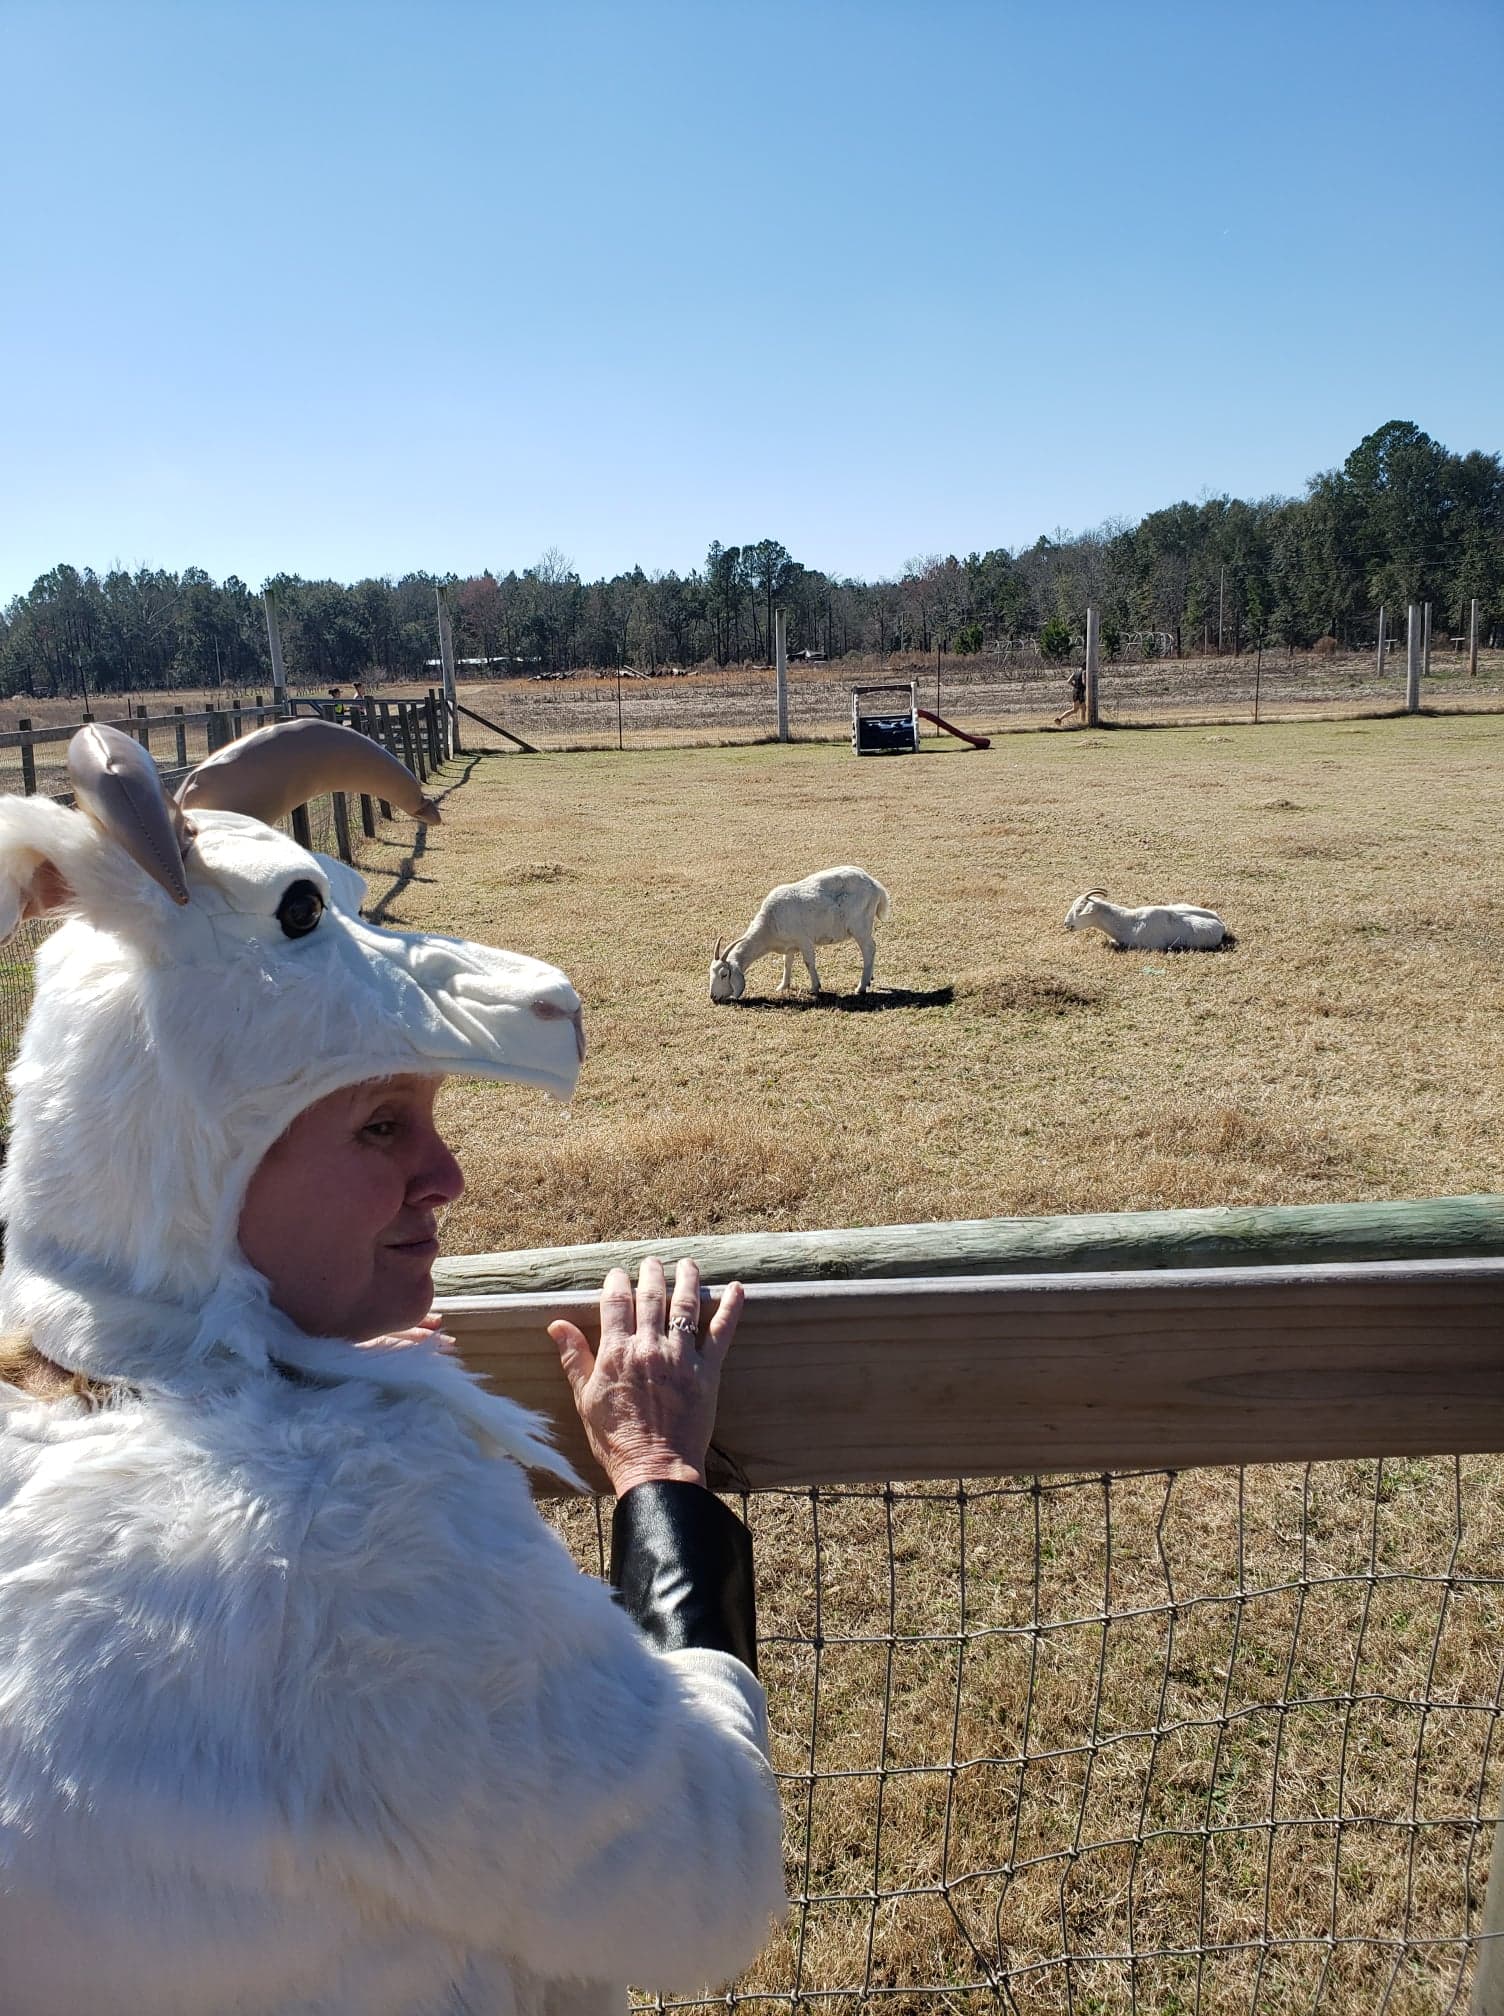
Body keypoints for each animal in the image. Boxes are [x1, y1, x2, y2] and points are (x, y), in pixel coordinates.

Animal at [709, 866, 891, 1001]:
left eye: (724, 974)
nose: (713, 997)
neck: (768, 925)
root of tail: (875, 885)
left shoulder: (805, 941)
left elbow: (809, 963)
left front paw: (815, 988)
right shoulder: (789, 945)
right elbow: (787, 963)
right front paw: (783, 986)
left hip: (860, 927)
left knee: (869, 949)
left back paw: (861, 987)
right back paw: (869, 979)